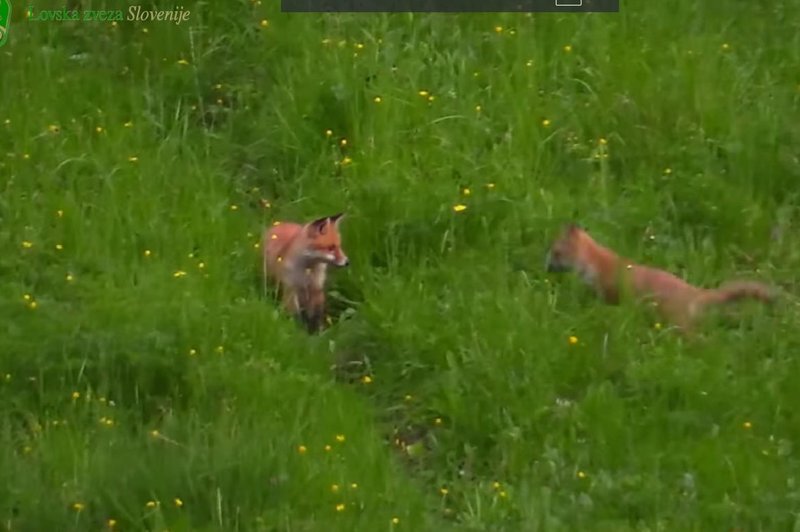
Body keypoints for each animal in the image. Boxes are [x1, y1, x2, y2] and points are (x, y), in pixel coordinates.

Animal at [544, 223, 776, 332]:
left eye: (556, 252)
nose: (546, 267)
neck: (595, 263)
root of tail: (695, 293)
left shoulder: (608, 290)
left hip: (678, 322)